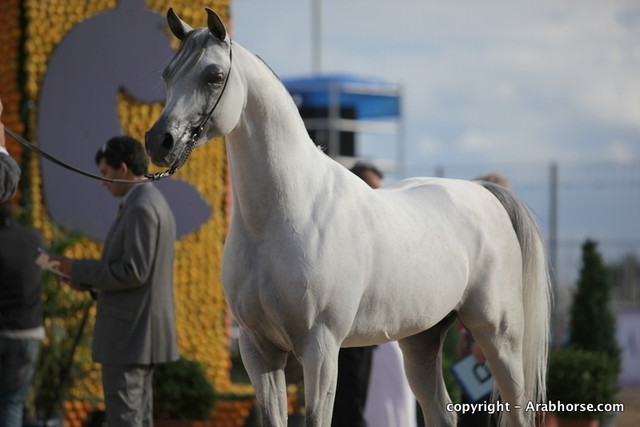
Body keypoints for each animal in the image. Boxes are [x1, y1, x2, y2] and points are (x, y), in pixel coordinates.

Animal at [146, 8, 551, 426]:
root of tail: (484, 192)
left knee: (518, 409)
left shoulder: (320, 348)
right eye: (167, 74)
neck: (283, 217)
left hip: (499, 336)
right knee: (441, 410)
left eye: (214, 75)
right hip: (421, 340)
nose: (159, 141)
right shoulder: (258, 349)